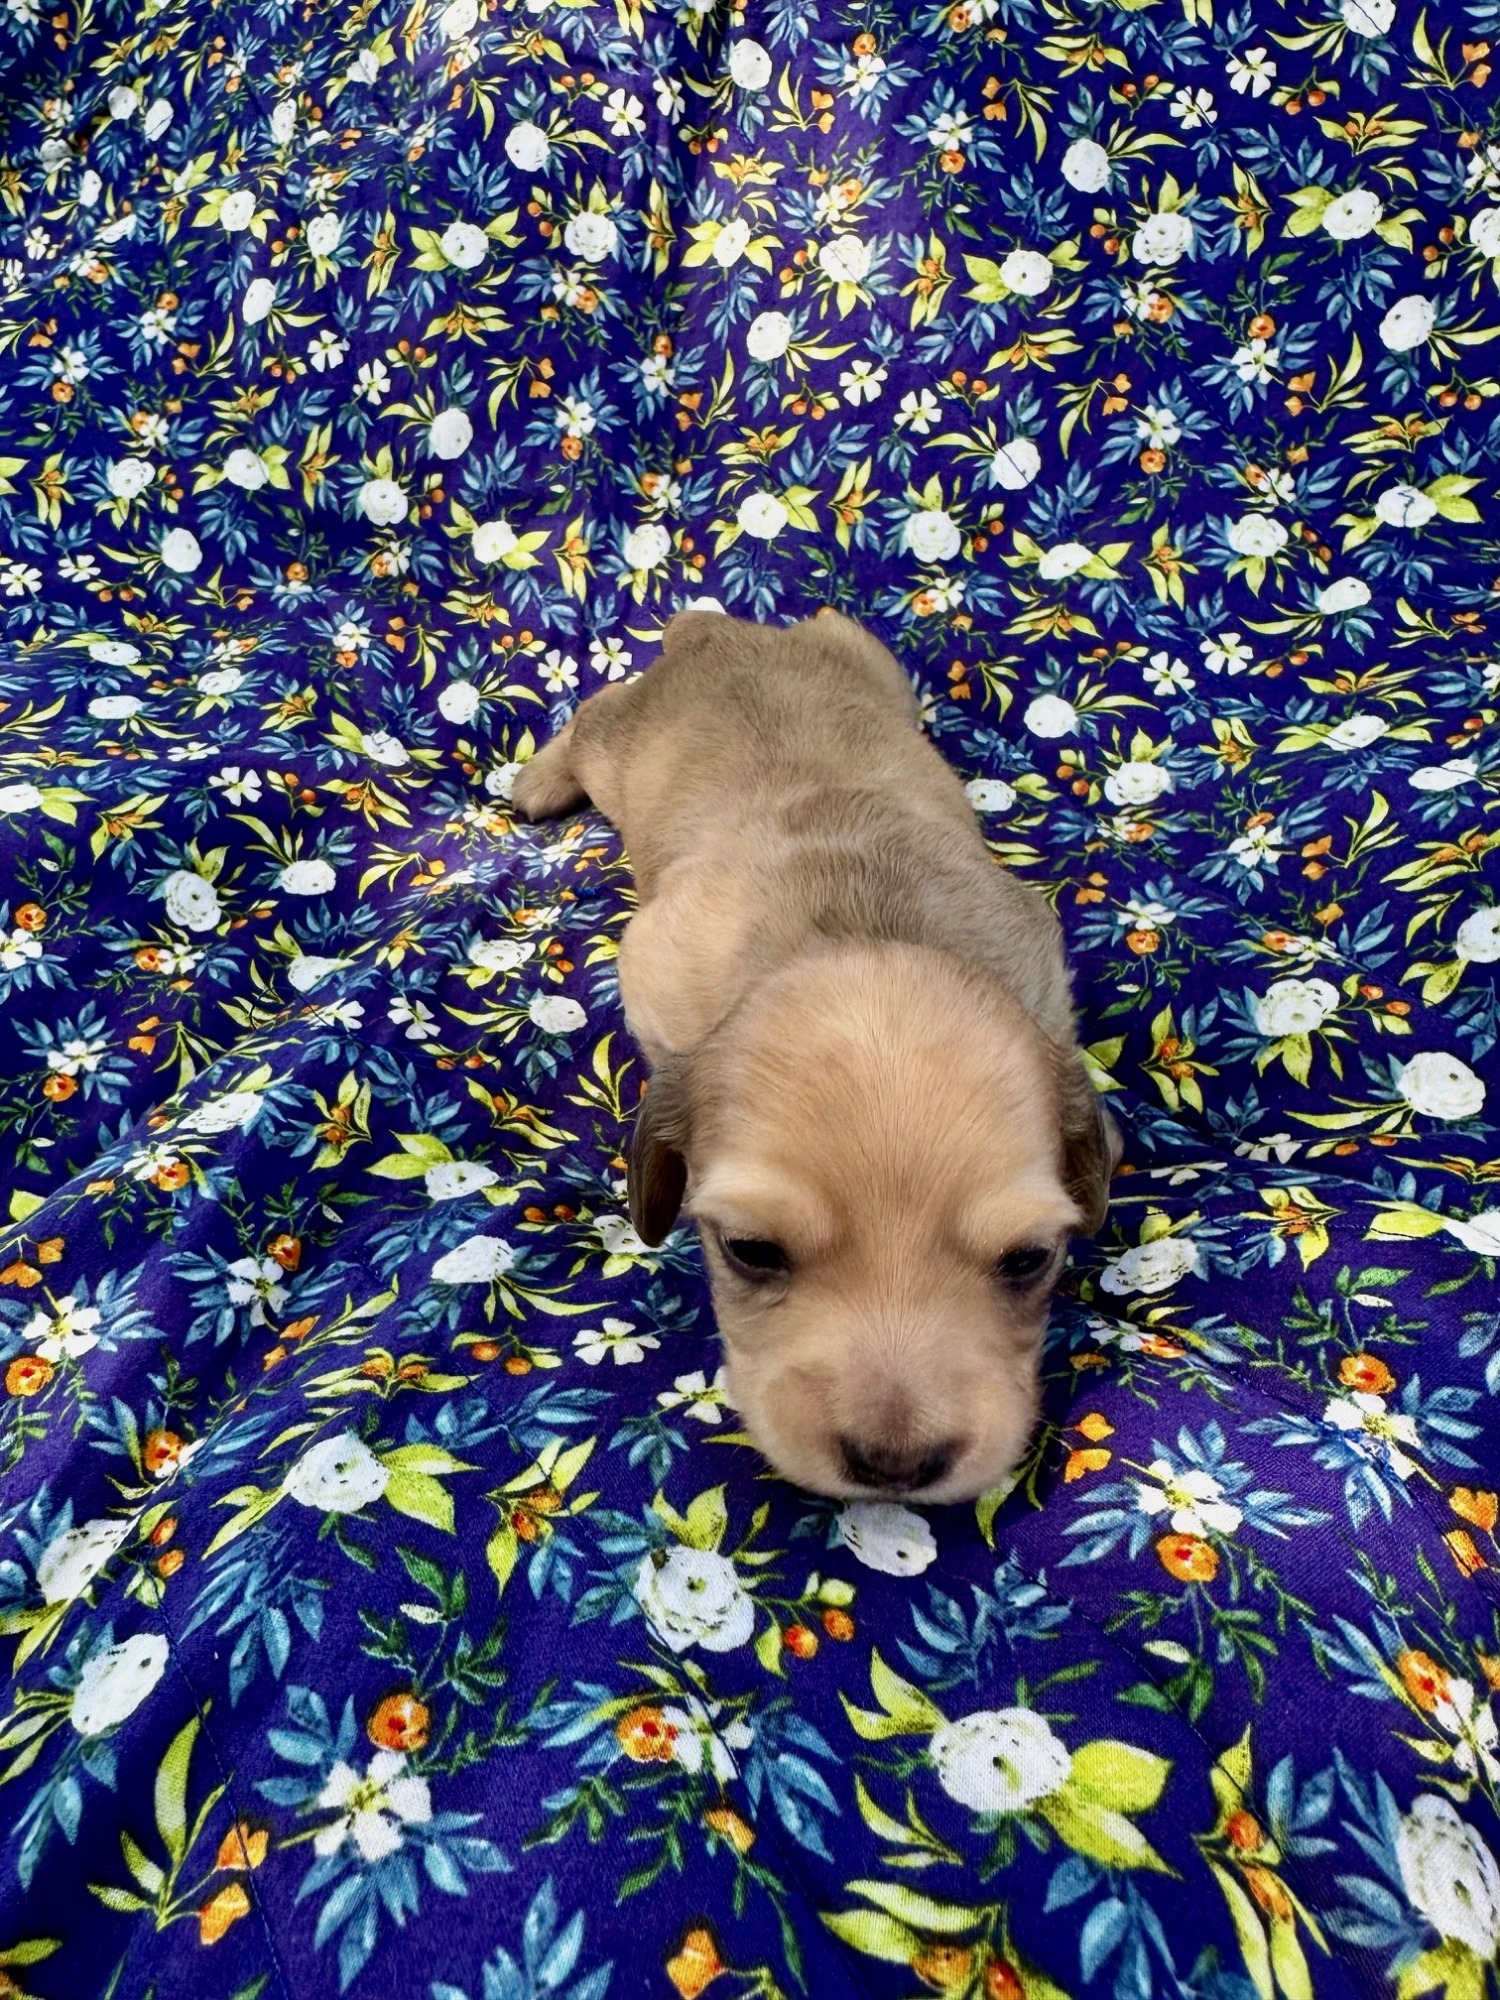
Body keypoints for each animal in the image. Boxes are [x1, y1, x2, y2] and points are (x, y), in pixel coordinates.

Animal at [512, 609, 1119, 1502]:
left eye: (1028, 1261)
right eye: (751, 1252)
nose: (896, 1465)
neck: (851, 923)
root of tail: (715, 627)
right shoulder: (651, 967)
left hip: (876, 663)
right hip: (618, 750)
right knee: (591, 713)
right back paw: (537, 778)